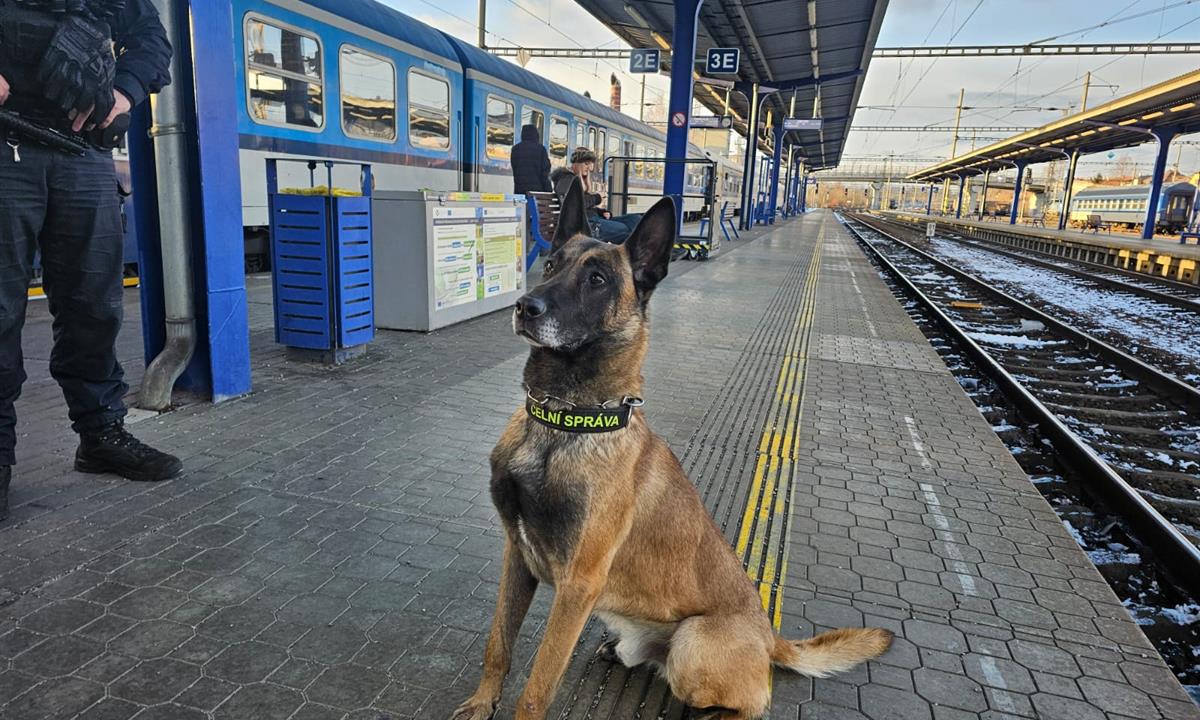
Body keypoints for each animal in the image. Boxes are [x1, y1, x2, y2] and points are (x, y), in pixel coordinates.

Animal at [451, 179, 892, 720]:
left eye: (597, 280)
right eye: (551, 264)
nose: (525, 306)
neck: (562, 424)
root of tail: (769, 637)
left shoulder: (578, 585)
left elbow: (537, 687)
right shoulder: (516, 554)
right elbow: (499, 643)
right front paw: (482, 702)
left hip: (692, 642)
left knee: (750, 702)